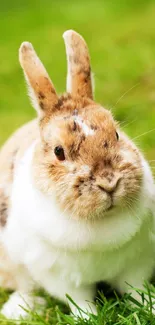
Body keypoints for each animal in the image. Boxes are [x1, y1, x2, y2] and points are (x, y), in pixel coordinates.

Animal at [0, 29, 155, 318]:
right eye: (59, 151)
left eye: (116, 134)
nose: (109, 182)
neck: (101, 221)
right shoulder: (61, 277)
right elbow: (80, 300)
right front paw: (89, 317)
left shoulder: (137, 262)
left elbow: (136, 289)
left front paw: (150, 306)